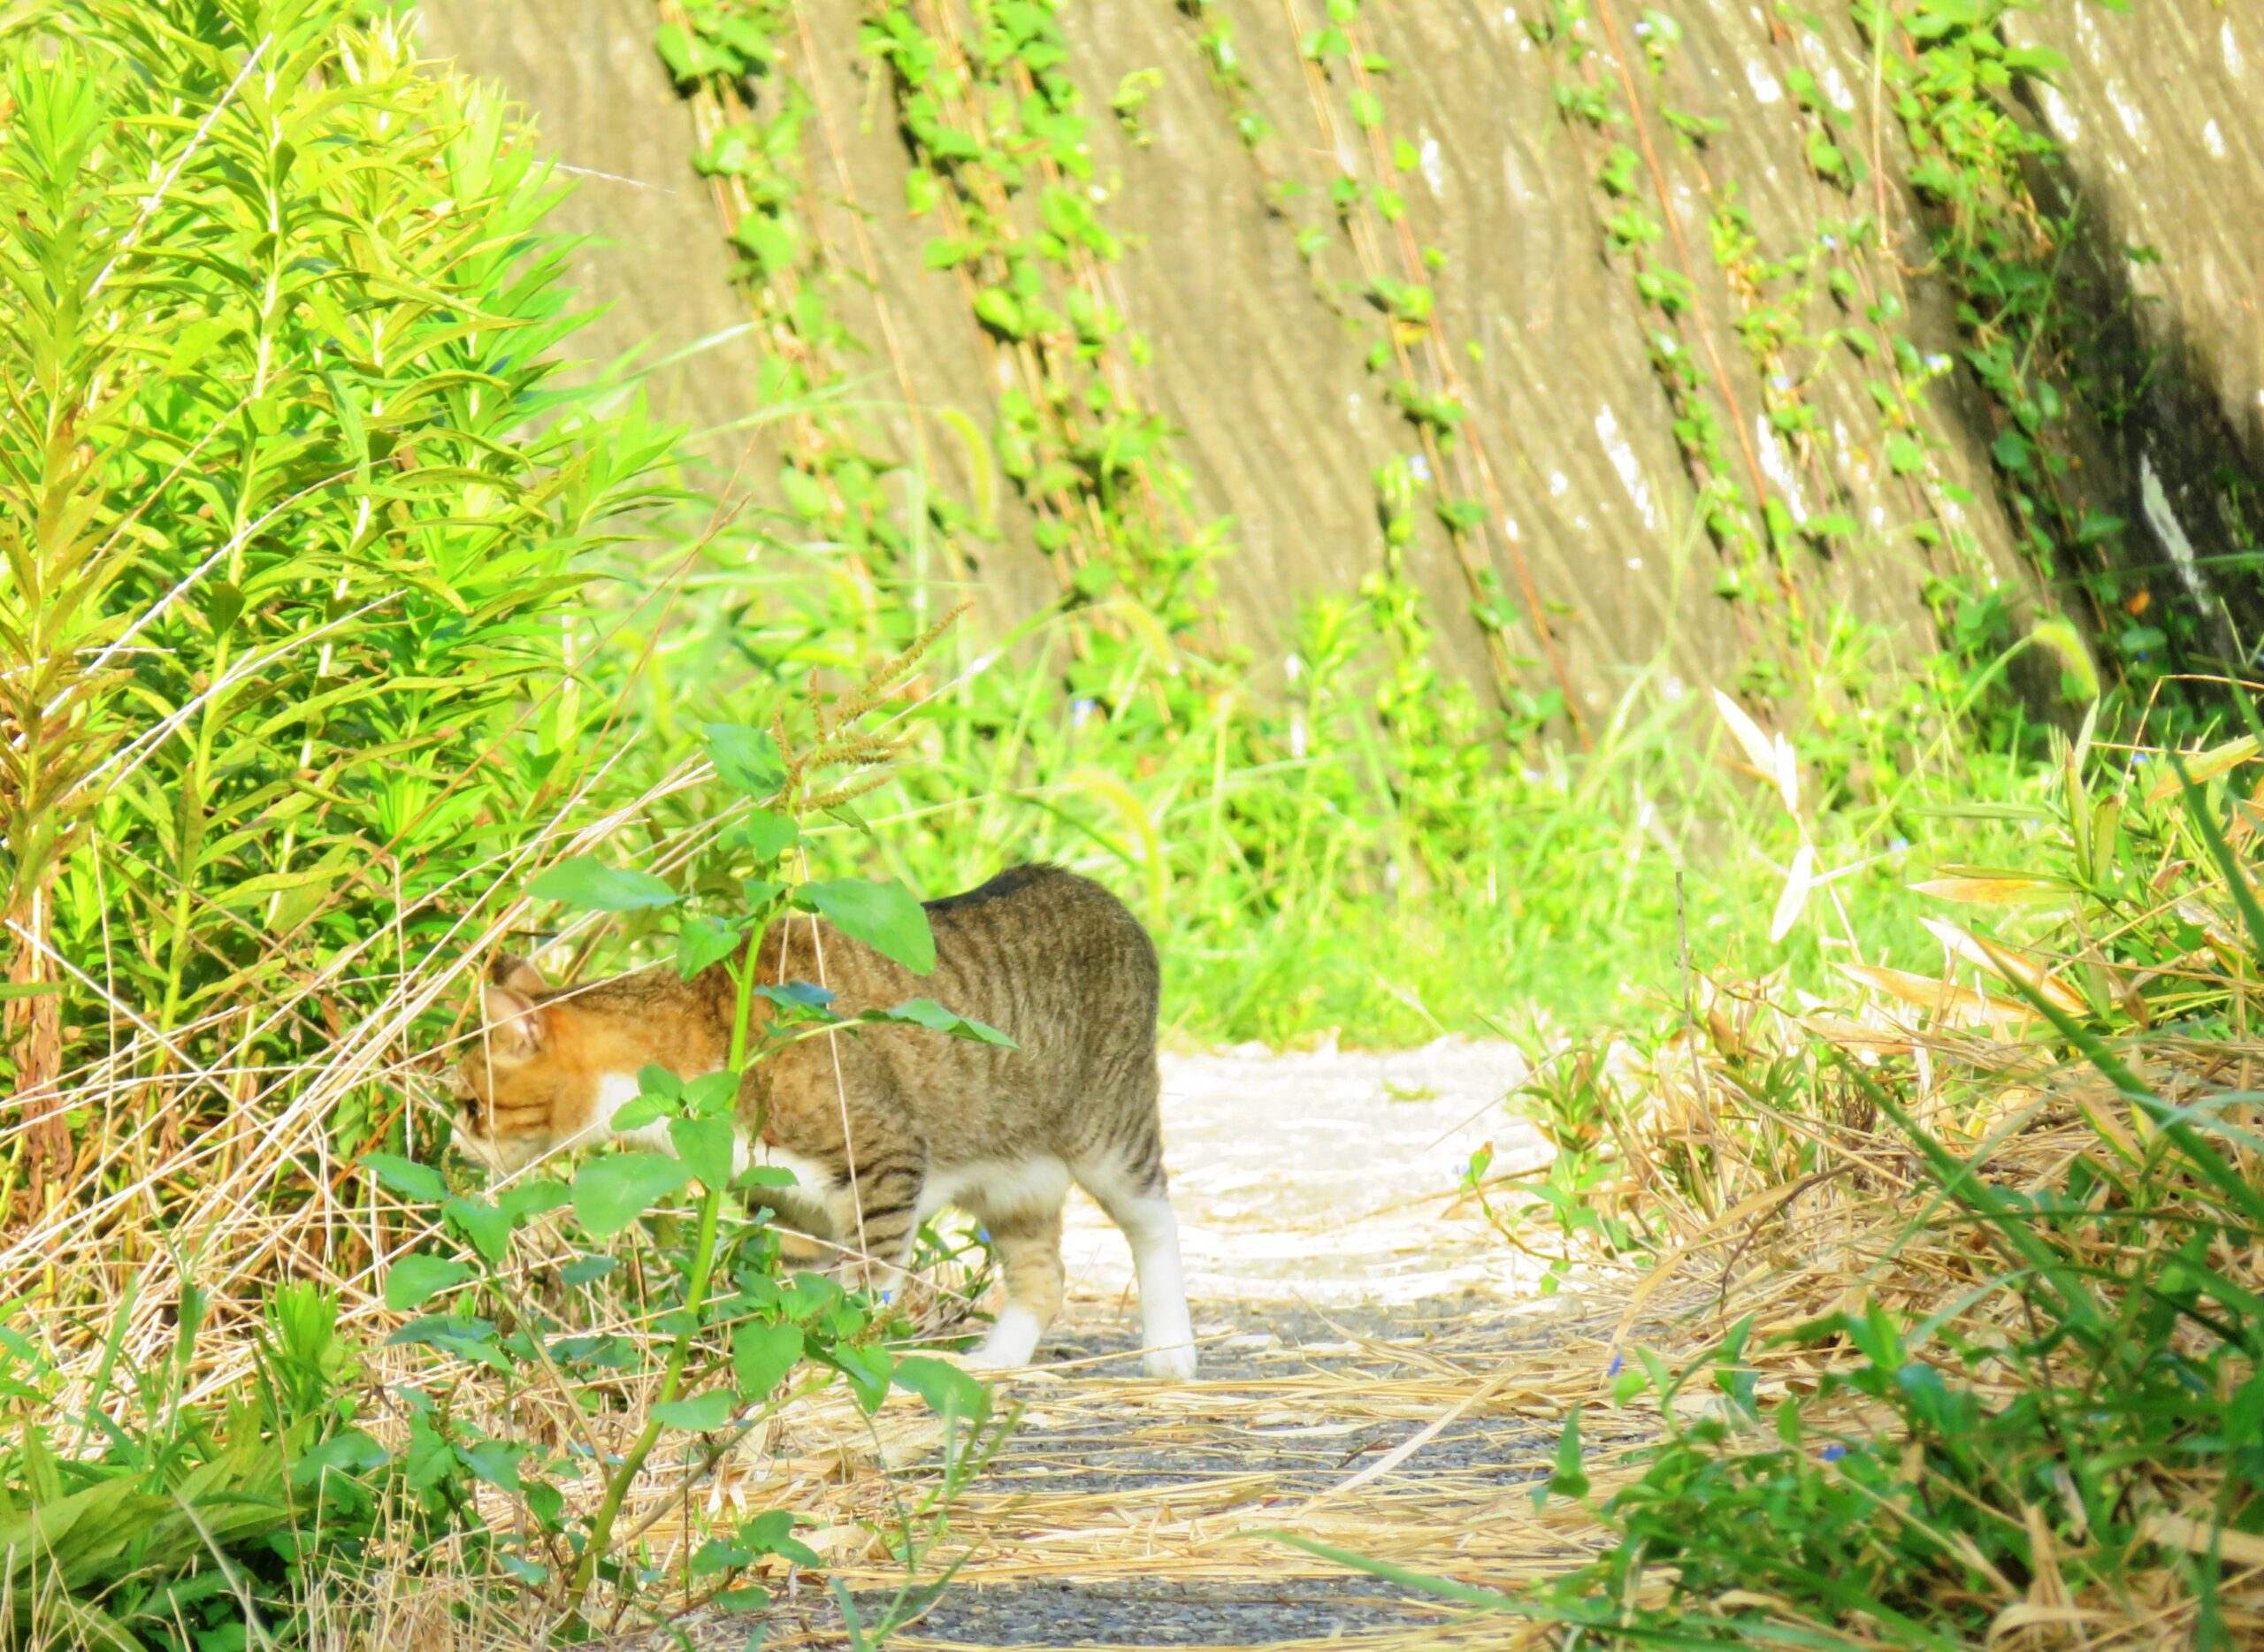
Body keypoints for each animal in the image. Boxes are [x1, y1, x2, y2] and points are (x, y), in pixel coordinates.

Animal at [432, 864, 1195, 1375]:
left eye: (471, 1104)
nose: (456, 1145)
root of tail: (1092, 888)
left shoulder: (887, 1160)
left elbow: (866, 1288)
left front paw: (838, 1365)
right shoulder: (786, 1204)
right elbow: (794, 1297)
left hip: (1109, 1131)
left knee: (1155, 1222)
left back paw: (1172, 1351)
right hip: (1010, 1175)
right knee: (1044, 1274)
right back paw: (994, 1363)